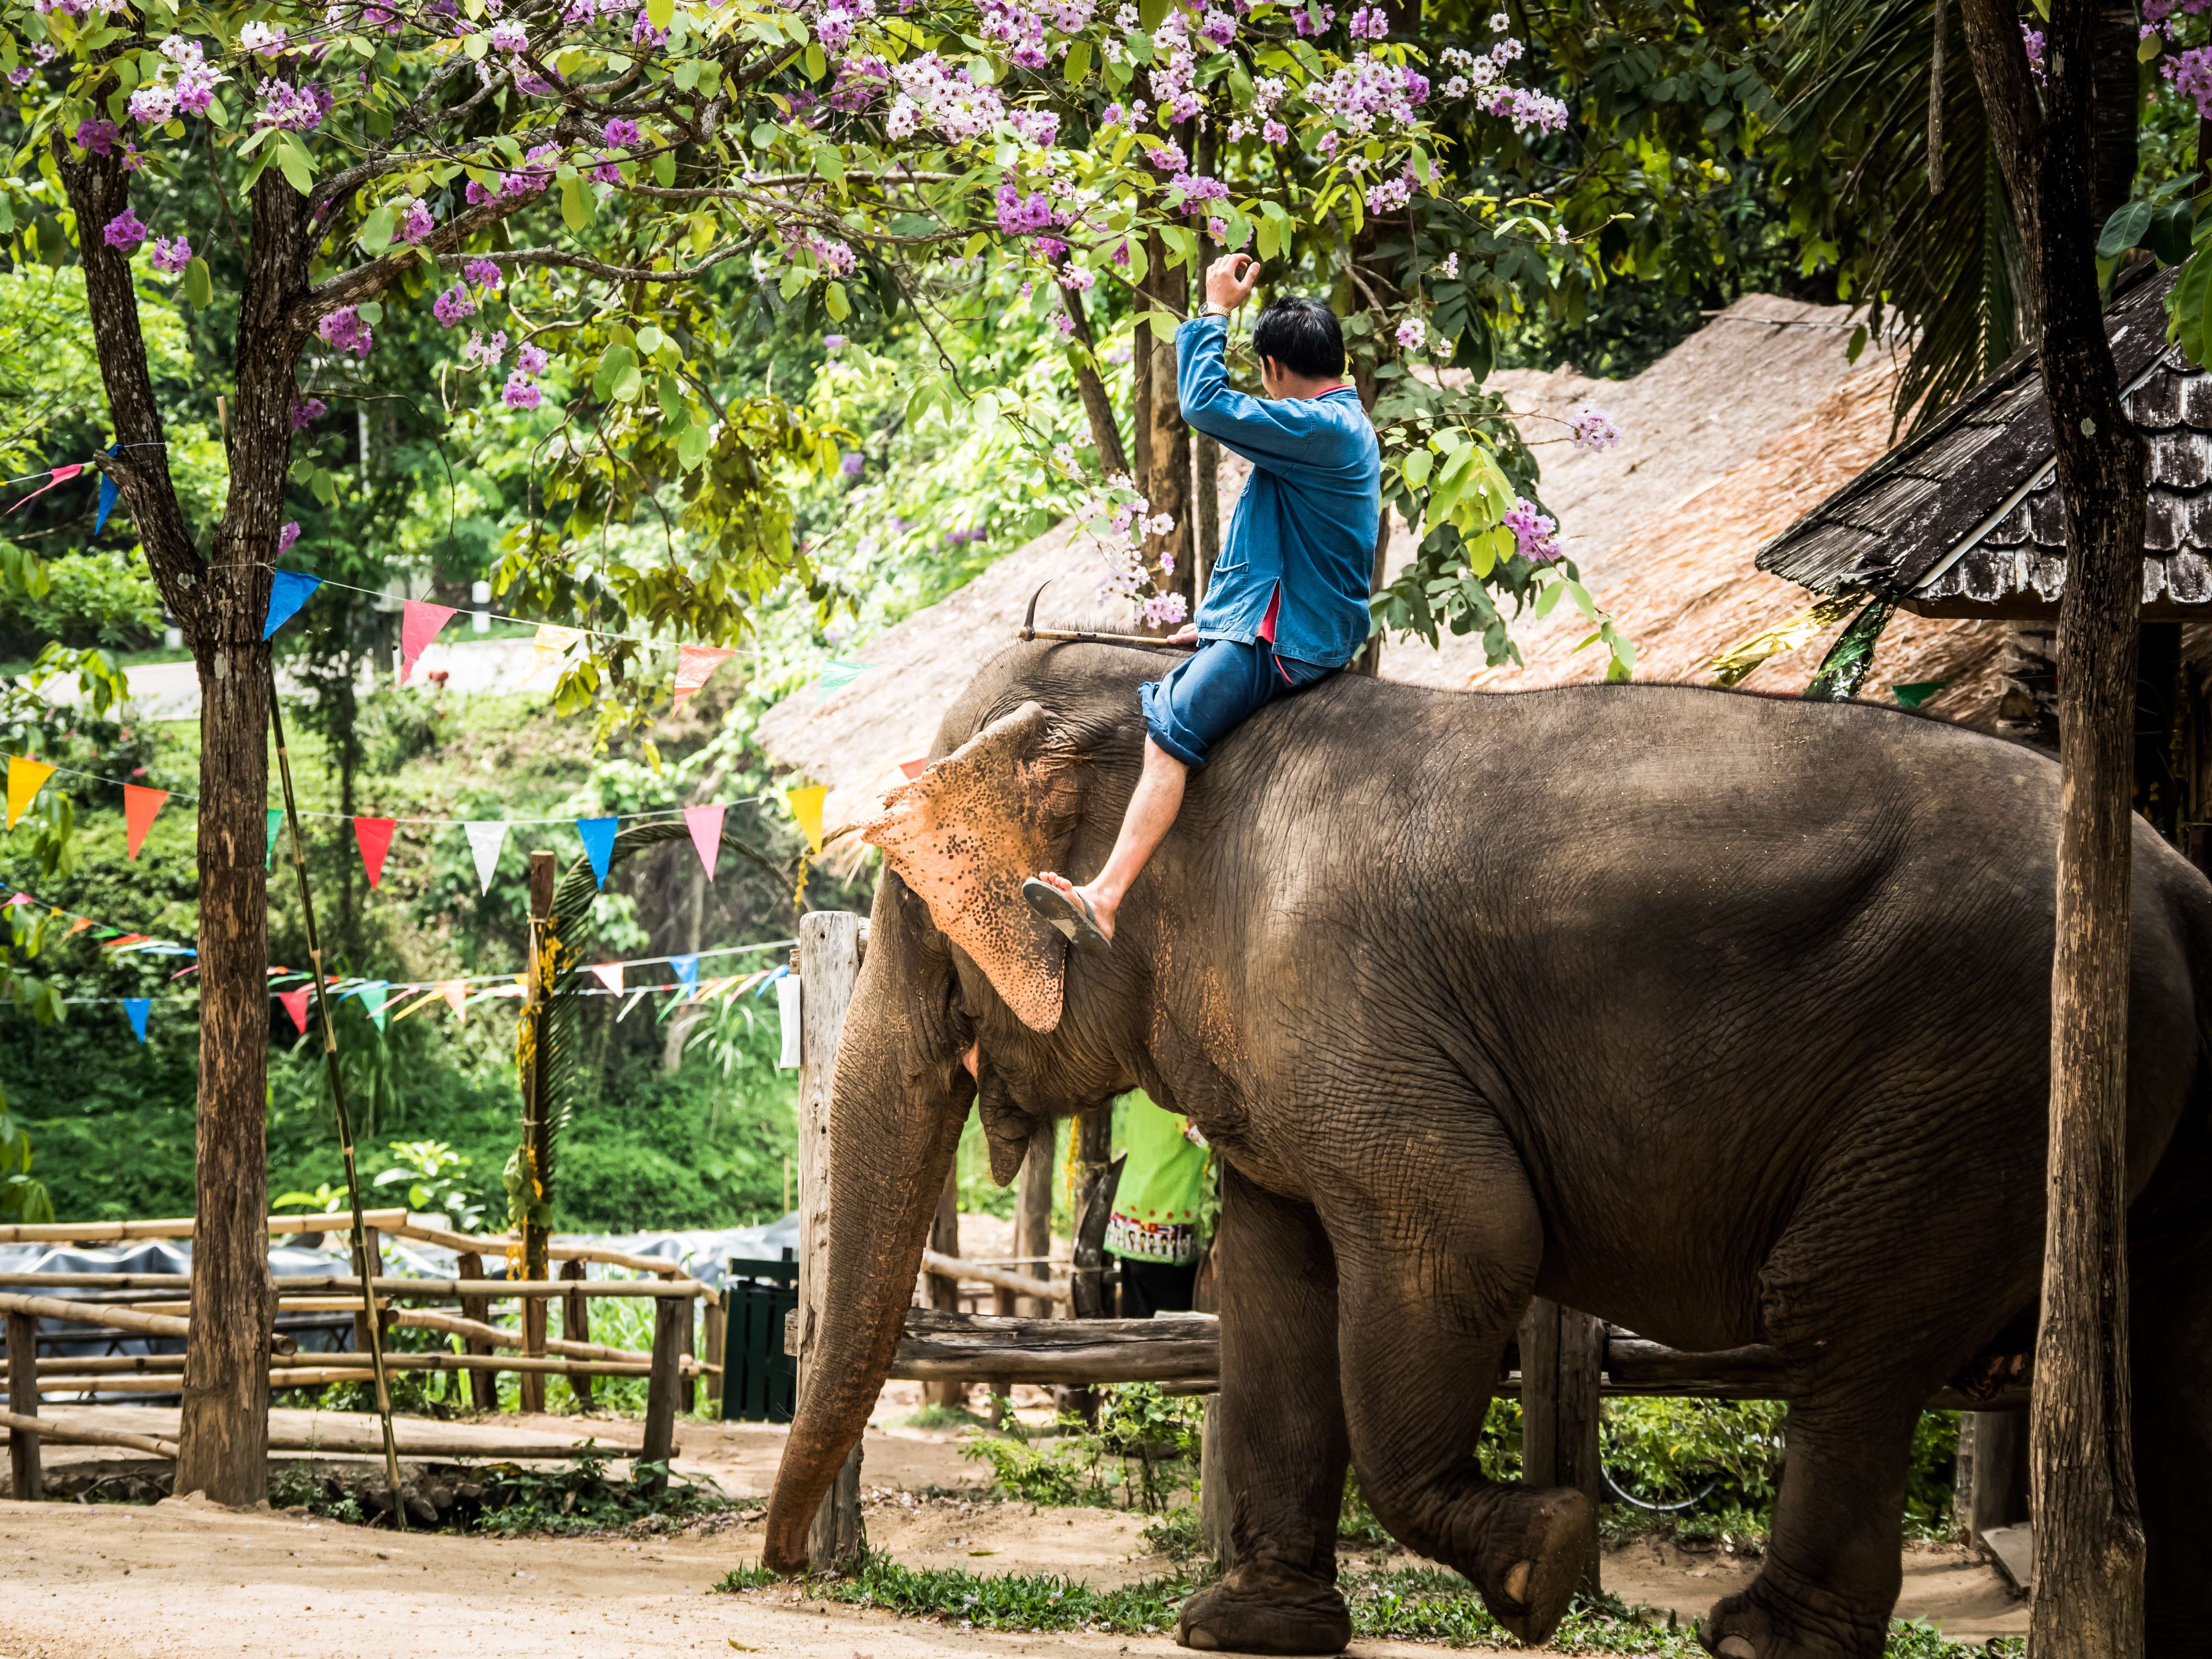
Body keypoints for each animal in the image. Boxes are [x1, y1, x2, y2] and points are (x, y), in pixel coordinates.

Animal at [762, 639, 2212, 1659]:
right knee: (2144, 1348)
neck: (1159, 682)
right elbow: (1278, 1292)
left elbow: (1462, 1237)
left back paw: (1757, 1637)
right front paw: (1245, 1628)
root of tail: (2171, 881)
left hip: (1980, 1076)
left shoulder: (1344, 1008)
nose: (782, 1571)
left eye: (917, 922)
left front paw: (1547, 1563)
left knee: (1842, 1321)